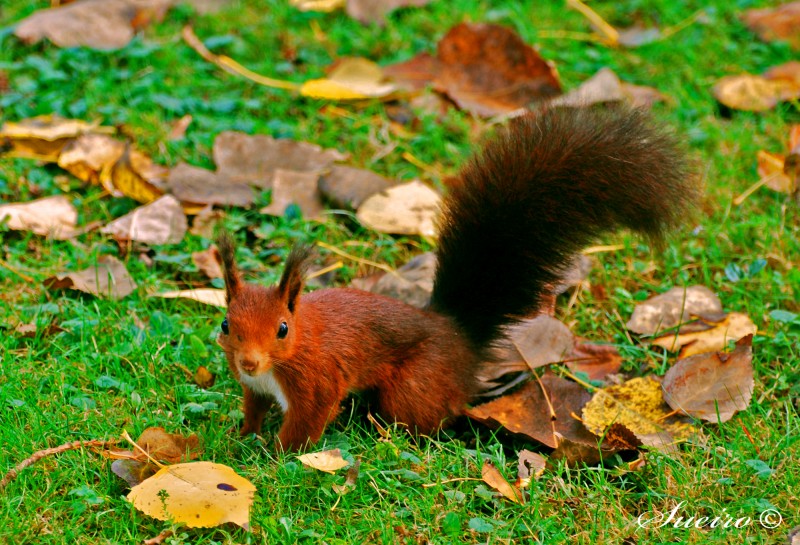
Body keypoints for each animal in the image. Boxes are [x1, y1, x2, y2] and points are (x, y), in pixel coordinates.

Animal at [216, 106, 696, 450]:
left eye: (282, 329)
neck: (287, 357)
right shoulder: (255, 387)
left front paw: (274, 458)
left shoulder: (315, 380)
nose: (250, 362)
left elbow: (305, 425)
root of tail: (457, 333)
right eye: (225, 324)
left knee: (425, 421)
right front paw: (240, 438)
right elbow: (253, 409)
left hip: (415, 384)